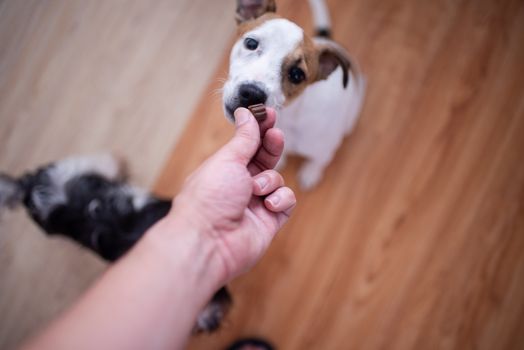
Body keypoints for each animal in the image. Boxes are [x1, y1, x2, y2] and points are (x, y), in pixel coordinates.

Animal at [223, 0, 366, 190]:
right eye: (251, 43)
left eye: (297, 75)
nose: (252, 93)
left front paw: (310, 173)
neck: (288, 117)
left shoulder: (324, 150)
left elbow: (318, 162)